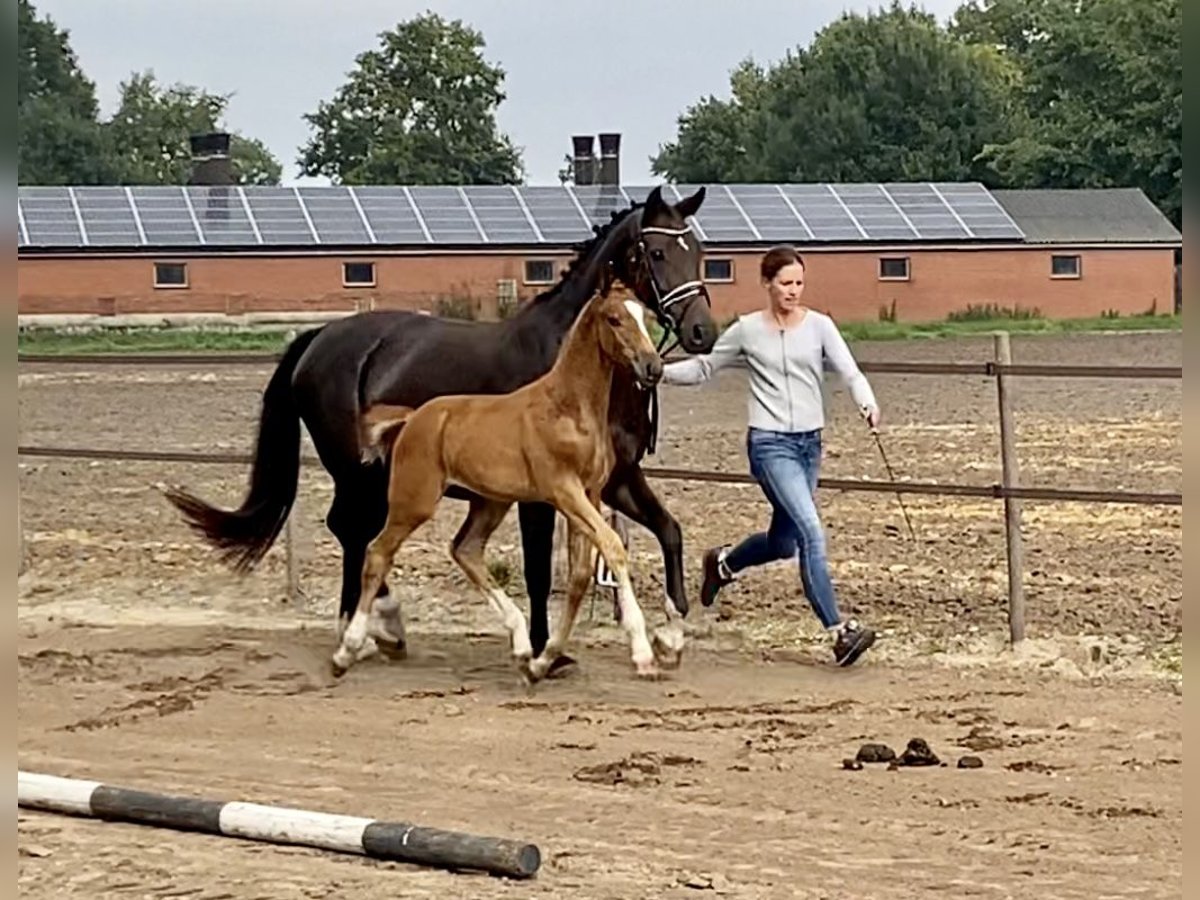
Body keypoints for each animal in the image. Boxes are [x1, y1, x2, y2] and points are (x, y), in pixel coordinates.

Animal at [331, 282, 686, 681]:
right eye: (614, 318)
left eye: (645, 314)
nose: (652, 366)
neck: (568, 409)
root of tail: (411, 418)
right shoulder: (563, 490)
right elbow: (611, 546)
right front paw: (643, 654)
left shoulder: (591, 493)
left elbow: (580, 574)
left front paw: (545, 660)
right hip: (414, 501)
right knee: (378, 552)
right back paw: (348, 650)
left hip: (490, 502)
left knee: (465, 549)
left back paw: (519, 645)